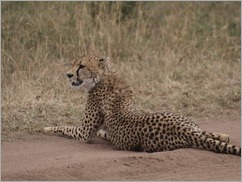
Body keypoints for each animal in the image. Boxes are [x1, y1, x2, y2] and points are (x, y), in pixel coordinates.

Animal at [44, 54, 241, 156]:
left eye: (81, 66)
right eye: (72, 64)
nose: (68, 75)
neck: (104, 75)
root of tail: (184, 131)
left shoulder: (85, 133)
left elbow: (66, 127)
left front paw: (47, 128)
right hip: (189, 123)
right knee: (204, 131)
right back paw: (223, 135)